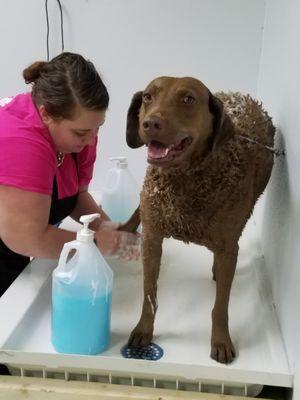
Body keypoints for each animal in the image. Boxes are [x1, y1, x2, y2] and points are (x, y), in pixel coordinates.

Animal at [123, 76, 276, 364]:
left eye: (188, 99)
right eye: (148, 96)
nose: (150, 123)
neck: (184, 181)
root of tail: (242, 95)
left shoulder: (228, 248)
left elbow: (221, 305)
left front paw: (221, 340)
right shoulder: (152, 238)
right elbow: (149, 293)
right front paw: (143, 330)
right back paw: (125, 229)